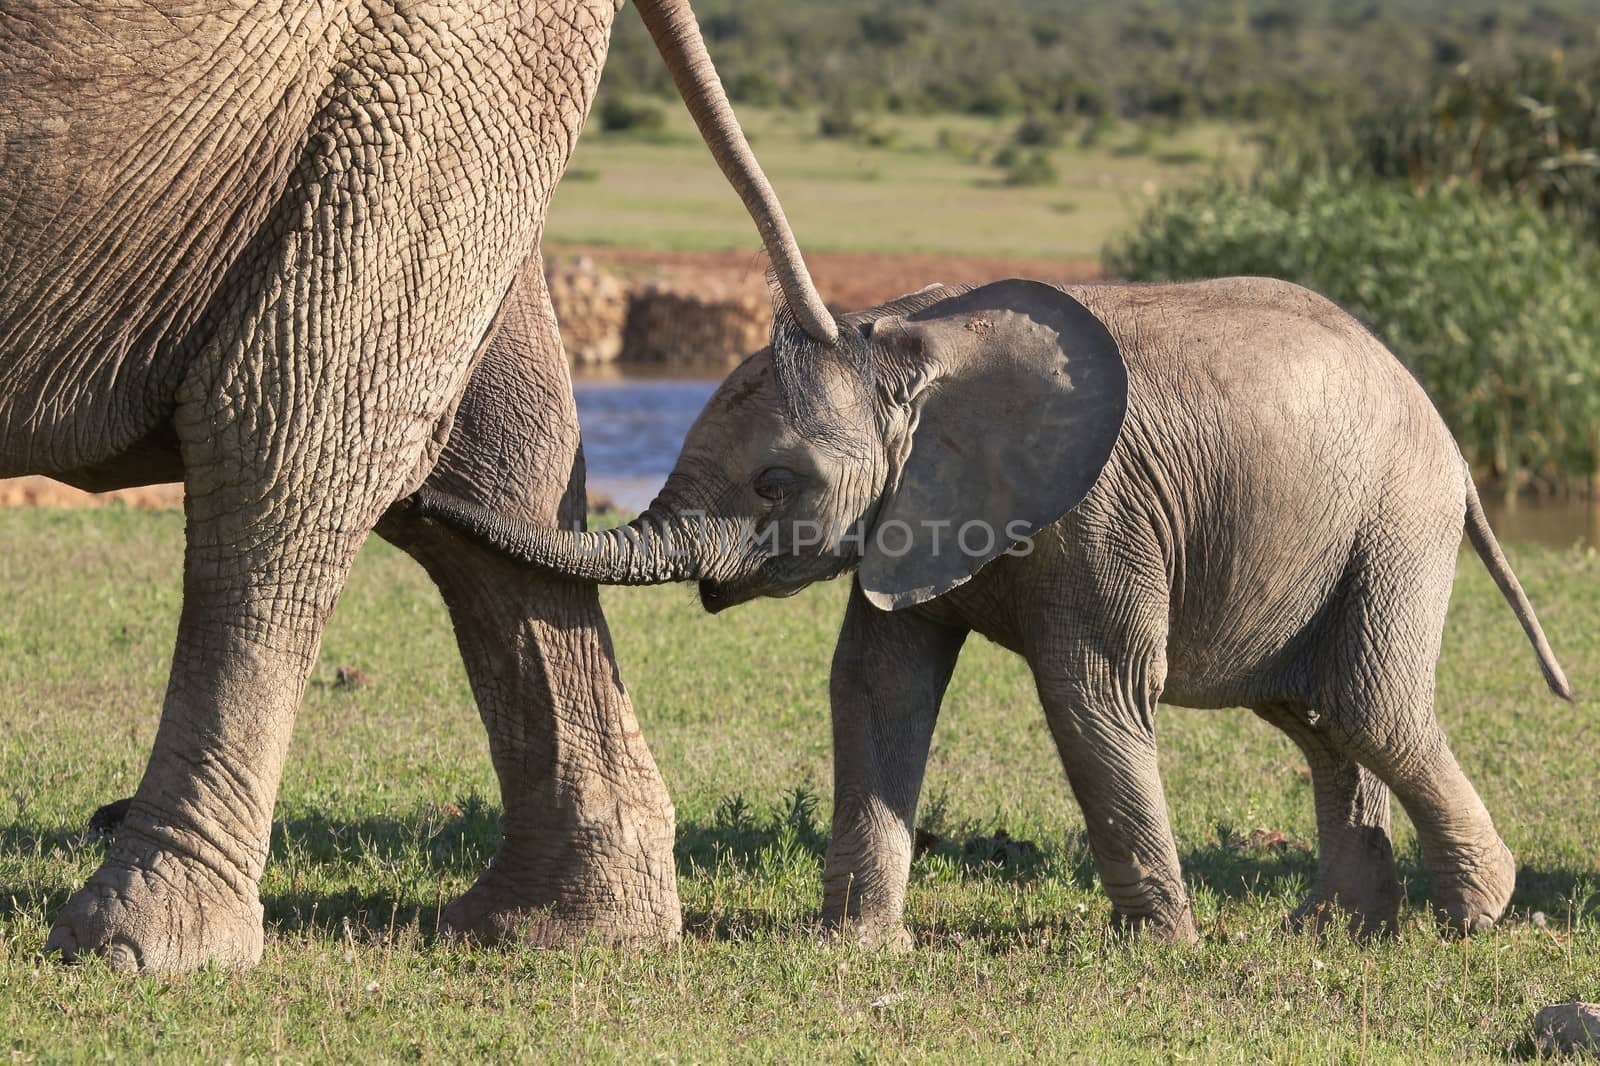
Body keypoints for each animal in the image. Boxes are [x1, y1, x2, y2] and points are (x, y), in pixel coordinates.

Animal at [406, 273, 1568, 941]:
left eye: (776, 483)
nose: (421, 483)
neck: (914, 344)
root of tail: (1449, 432)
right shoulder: (914, 508)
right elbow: (878, 683)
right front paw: (856, 947)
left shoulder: (1098, 513)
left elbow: (1092, 694)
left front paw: (1164, 948)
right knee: (1317, 715)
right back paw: (1327, 930)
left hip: (1395, 519)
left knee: (1368, 704)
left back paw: (1471, 916)